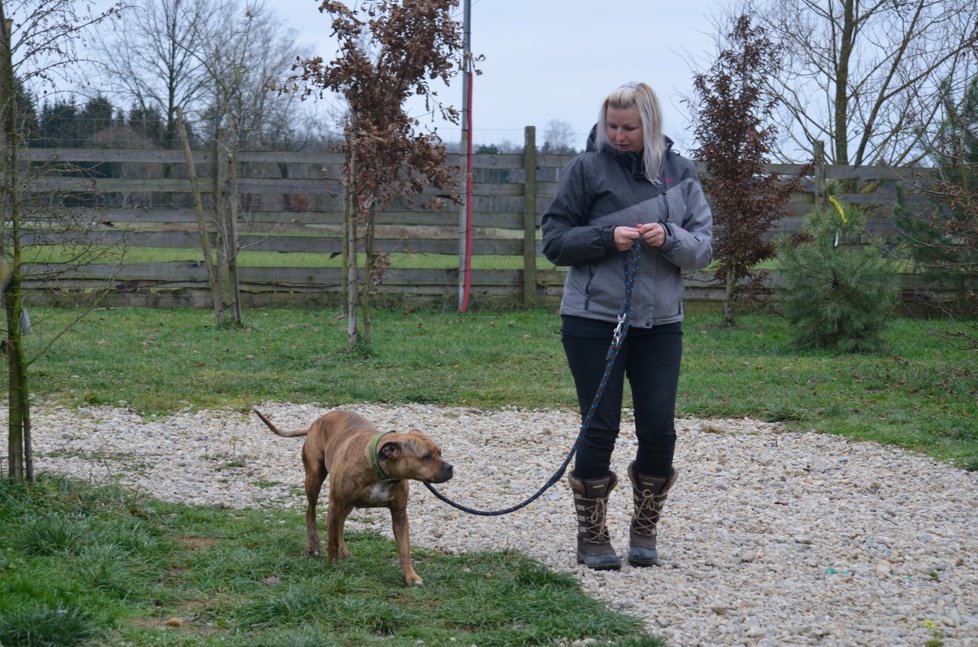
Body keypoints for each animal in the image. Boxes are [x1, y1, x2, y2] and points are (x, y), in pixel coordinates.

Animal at [252, 410, 450, 588]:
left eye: (440, 452)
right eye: (426, 457)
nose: (450, 467)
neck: (381, 472)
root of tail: (316, 422)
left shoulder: (399, 514)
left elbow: (404, 549)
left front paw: (410, 576)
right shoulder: (335, 504)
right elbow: (331, 541)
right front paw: (332, 566)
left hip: (348, 503)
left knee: (340, 523)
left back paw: (343, 549)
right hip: (314, 480)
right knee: (311, 512)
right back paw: (314, 544)